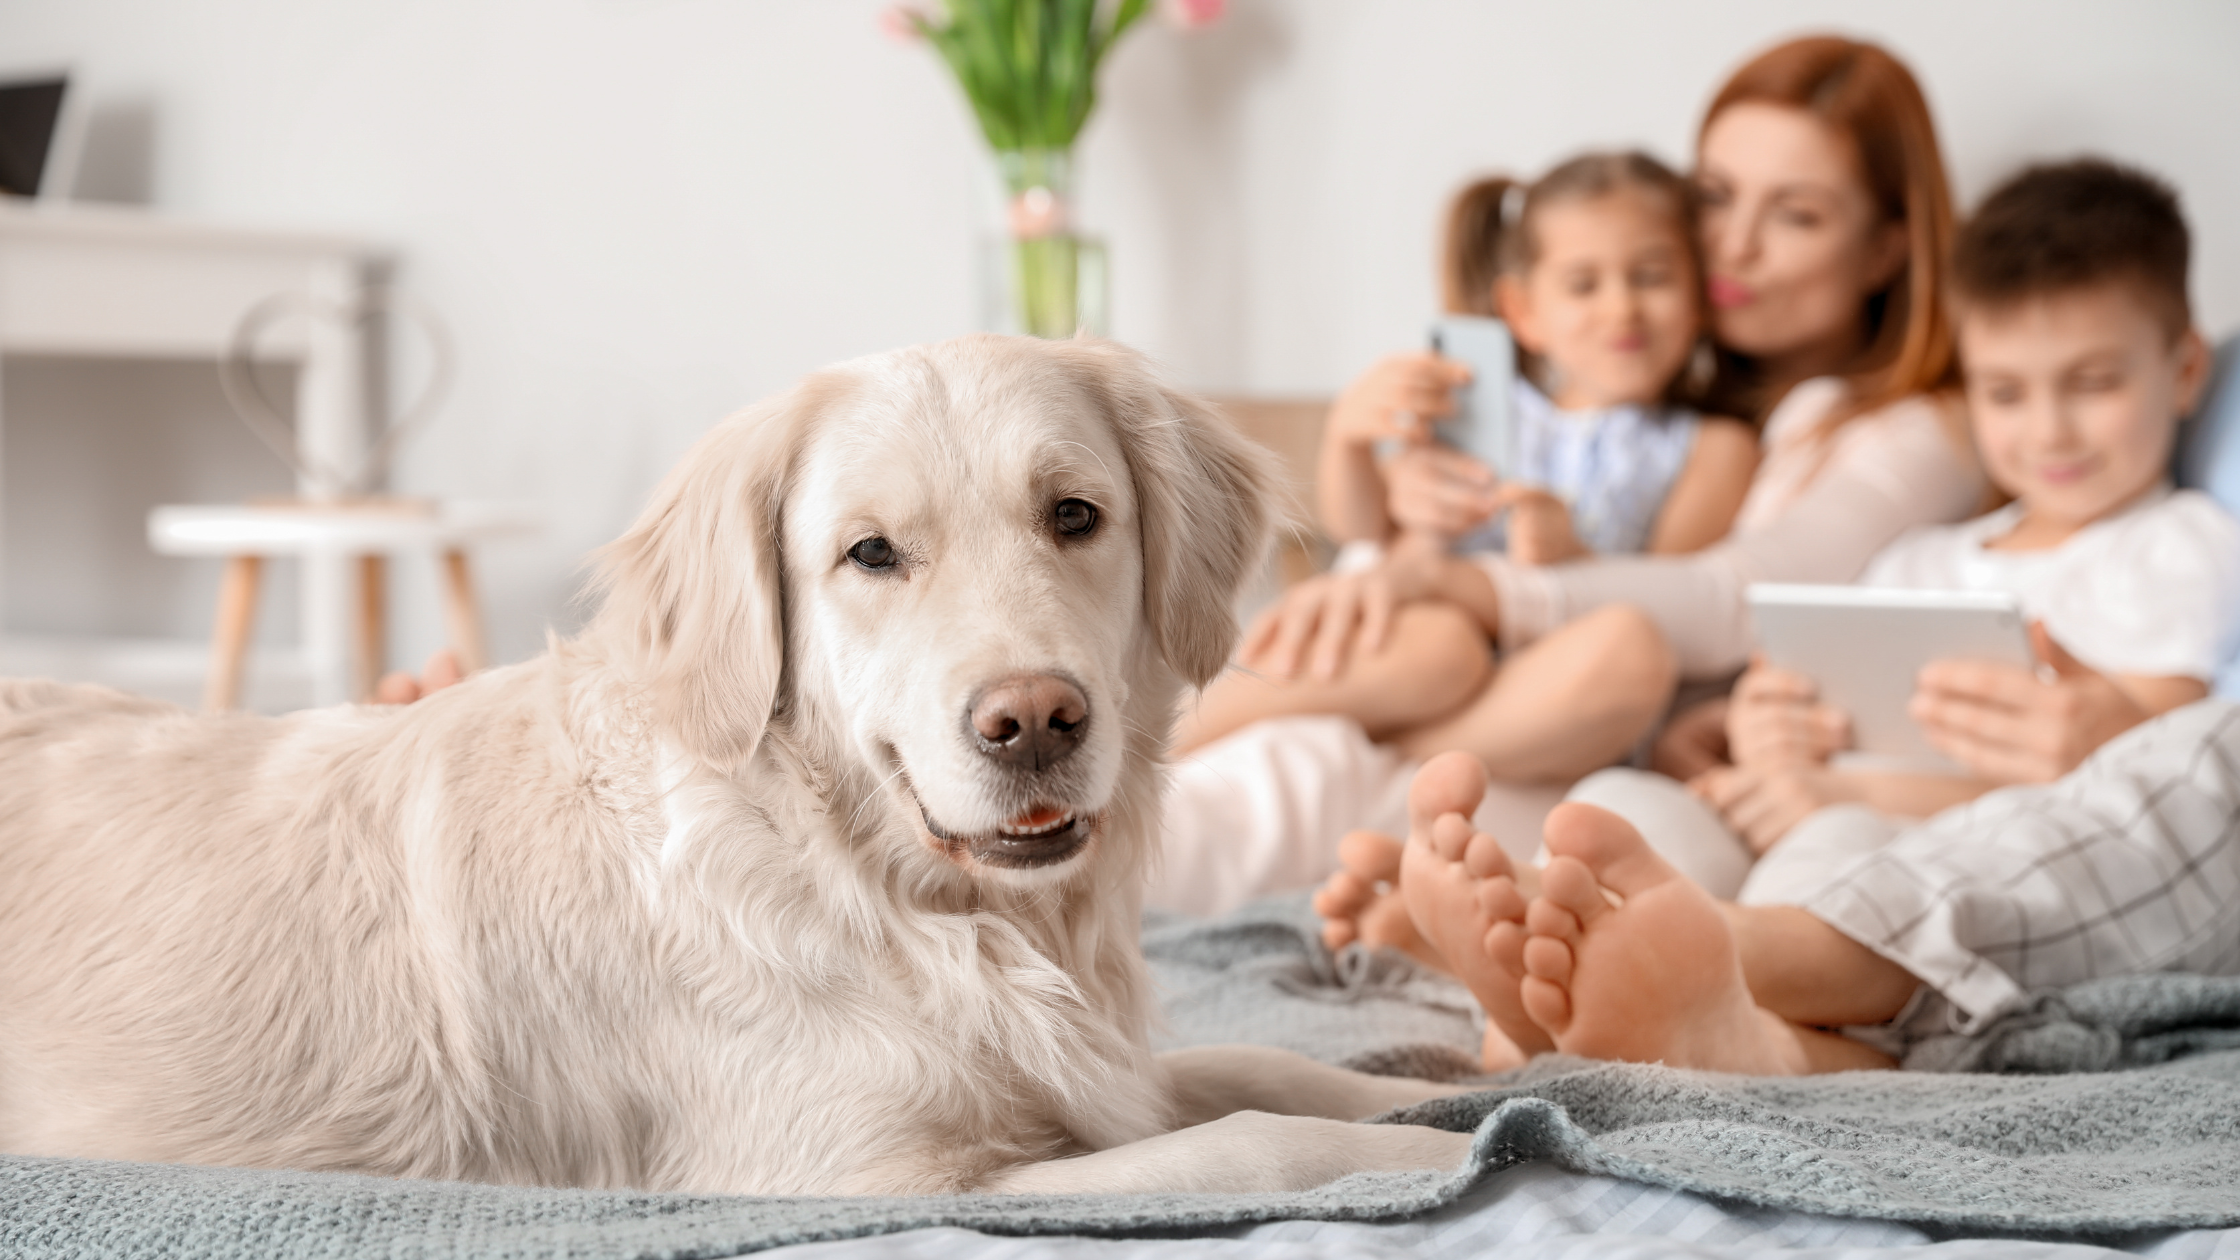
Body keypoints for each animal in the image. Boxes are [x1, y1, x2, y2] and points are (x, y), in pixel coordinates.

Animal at [0, 331, 1478, 1183]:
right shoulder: (872, 1186)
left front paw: (1455, 1080)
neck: (868, 882)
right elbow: (1263, 1137)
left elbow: (1265, 1071)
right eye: (870, 554)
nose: (1034, 721)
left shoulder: (1102, 1064)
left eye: (1075, 515)